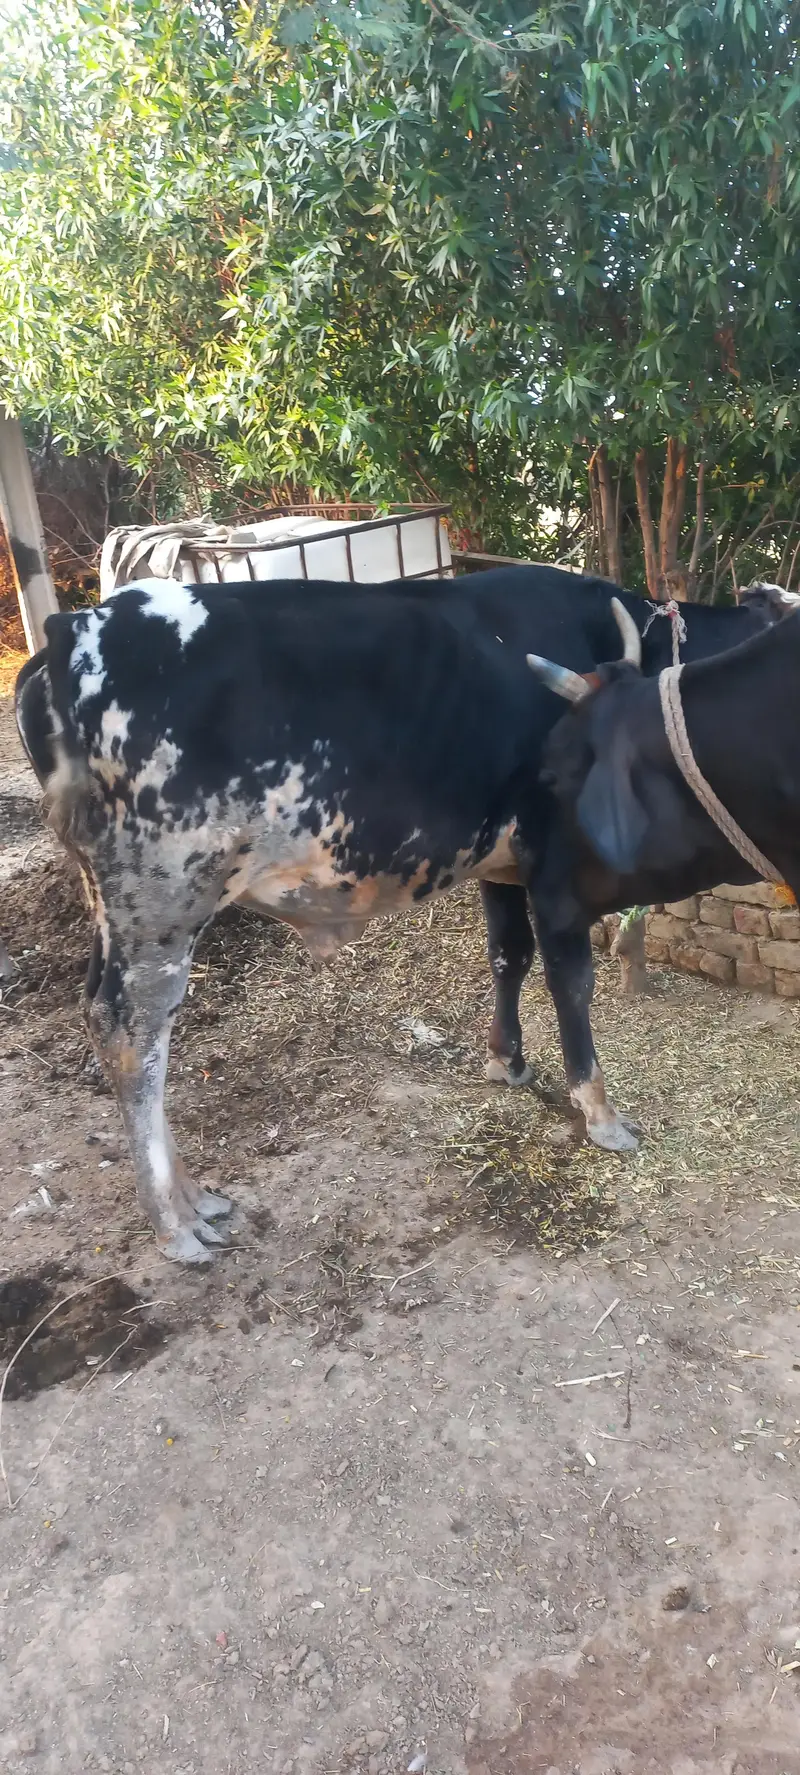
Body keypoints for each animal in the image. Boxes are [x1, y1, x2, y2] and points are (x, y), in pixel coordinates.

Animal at [13, 568, 798, 1262]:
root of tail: (70, 628)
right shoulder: (555, 870)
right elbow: (570, 982)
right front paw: (599, 1112)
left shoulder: (502, 863)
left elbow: (508, 954)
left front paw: (506, 1059)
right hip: (165, 896)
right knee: (133, 1031)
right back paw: (174, 1223)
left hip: (112, 903)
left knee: (103, 1014)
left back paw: (194, 1200)